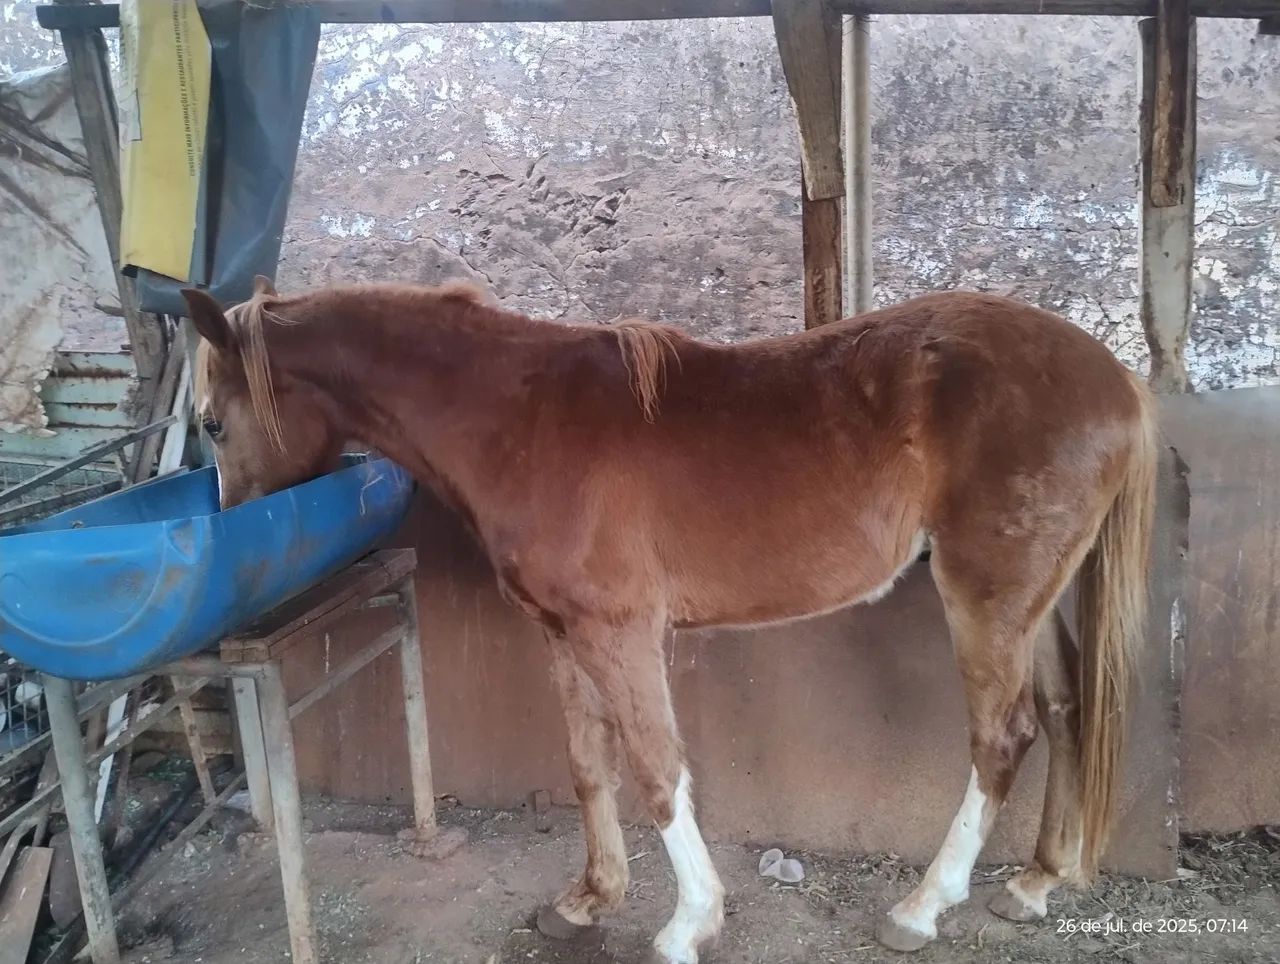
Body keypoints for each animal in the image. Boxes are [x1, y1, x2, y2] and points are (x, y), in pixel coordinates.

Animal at [183, 275, 1155, 963]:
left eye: (212, 424)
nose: (228, 535)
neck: (517, 420)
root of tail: (1118, 382)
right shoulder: (562, 632)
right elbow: (589, 766)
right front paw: (588, 899)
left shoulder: (621, 632)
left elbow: (656, 768)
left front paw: (690, 922)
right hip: (1037, 602)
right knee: (1065, 713)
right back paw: (1034, 883)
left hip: (985, 598)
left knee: (1003, 737)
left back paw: (921, 908)